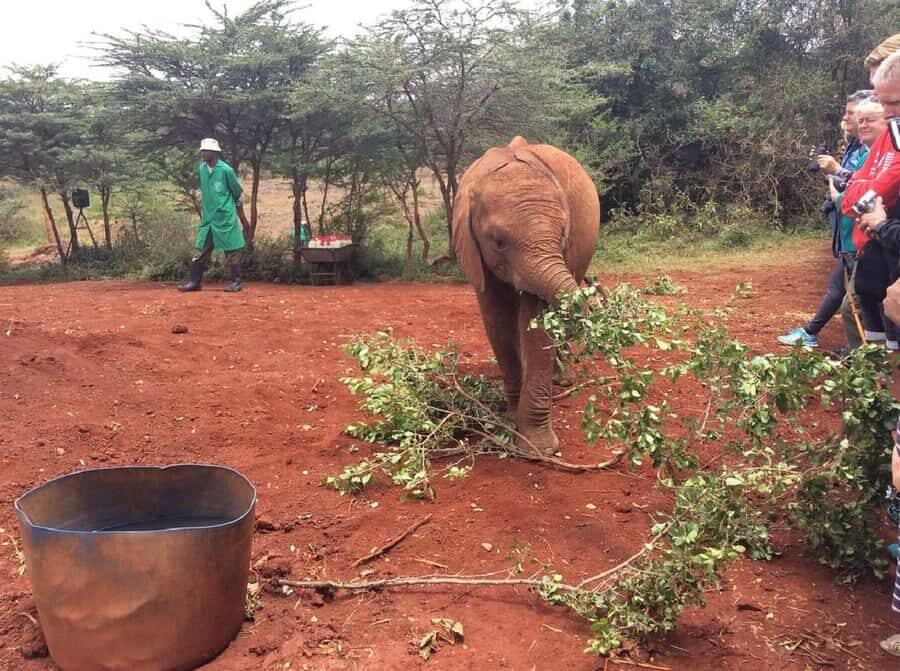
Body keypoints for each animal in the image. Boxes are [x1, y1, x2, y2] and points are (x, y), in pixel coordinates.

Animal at [452, 136, 601, 456]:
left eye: (563, 235)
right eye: (497, 241)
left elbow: (537, 321)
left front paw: (537, 449)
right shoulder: (475, 251)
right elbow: (498, 319)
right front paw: (509, 421)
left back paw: (563, 381)